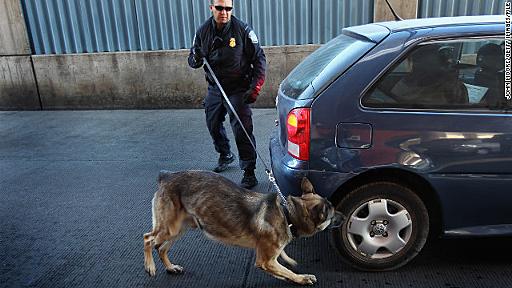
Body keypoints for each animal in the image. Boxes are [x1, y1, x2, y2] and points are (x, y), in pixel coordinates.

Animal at [144, 170, 344, 284]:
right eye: (332, 214)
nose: (344, 216)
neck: (287, 215)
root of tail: (166, 177)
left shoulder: (271, 260)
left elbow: (283, 270)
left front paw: (285, 276)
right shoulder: (265, 260)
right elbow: (288, 270)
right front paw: (301, 278)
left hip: (179, 228)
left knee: (161, 248)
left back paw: (171, 268)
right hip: (169, 228)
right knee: (148, 239)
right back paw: (150, 266)